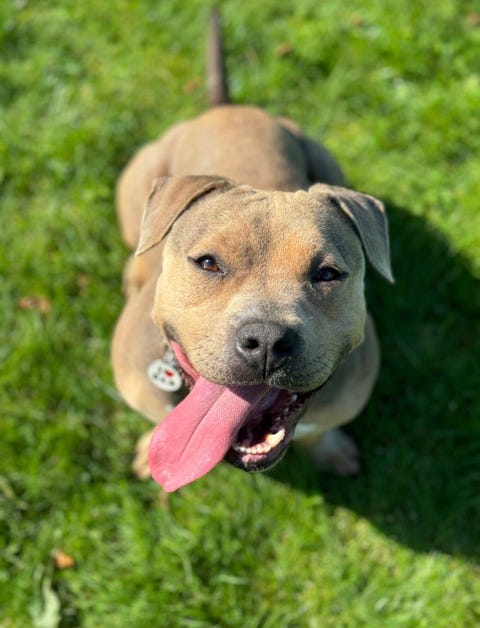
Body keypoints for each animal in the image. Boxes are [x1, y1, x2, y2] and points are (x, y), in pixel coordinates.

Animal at [111, 13, 393, 492]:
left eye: (327, 274)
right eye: (208, 263)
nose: (266, 341)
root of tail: (225, 108)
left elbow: (321, 431)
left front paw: (331, 451)